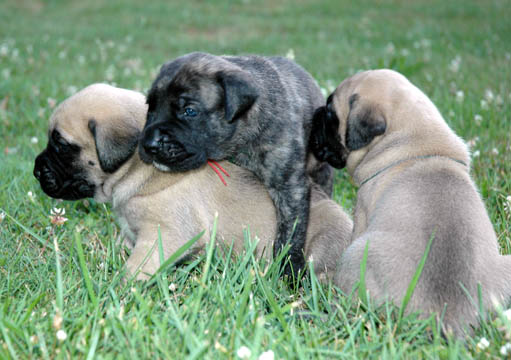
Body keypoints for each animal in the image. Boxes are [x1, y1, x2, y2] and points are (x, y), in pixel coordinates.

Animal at [34, 84, 354, 282]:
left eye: (61, 146)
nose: (36, 170)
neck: (139, 169)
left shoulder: (162, 235)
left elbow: (135, 268)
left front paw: (117, 289)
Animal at [139, 52, 336, 276]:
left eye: (190, 111)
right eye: (150, 109)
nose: (149, 144)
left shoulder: (290, 188)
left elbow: (291, 234)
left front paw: (288, 270)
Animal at [310, 69, 511, 334]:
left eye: (331, 113)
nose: (315, 113)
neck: (418, 146)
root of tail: (446, 319)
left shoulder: (361, 214)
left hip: (356, 253)